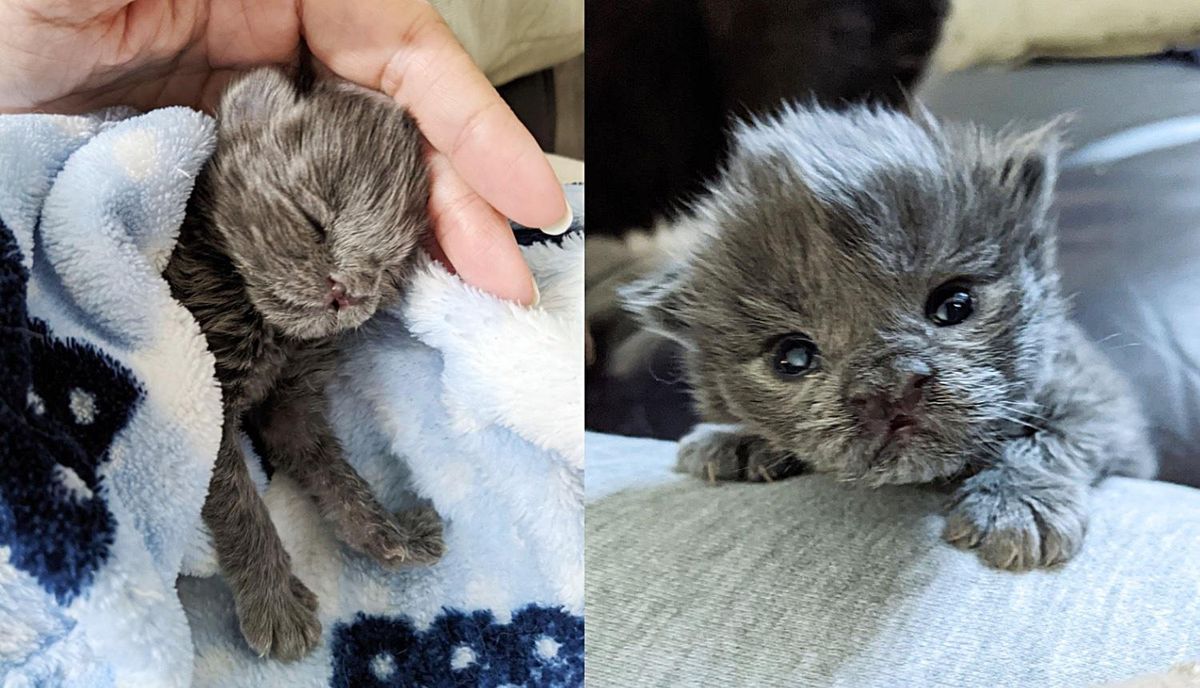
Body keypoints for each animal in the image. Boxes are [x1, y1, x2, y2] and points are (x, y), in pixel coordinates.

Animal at [164, 65, 446, 657]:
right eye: (313, 219)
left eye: (390, 268)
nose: (347, 292)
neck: (274, 333)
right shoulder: (206, 392)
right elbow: (238, 503)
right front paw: (275, 604)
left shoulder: (293, 405)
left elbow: (335, 472)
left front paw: (386, 533)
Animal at [624, 104, 1156, 571]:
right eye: (792, 358)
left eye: (954, 305)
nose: (890, 387)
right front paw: (737, 440)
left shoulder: (1100, 398)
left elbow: (1060, 434)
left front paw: (1015, 502)